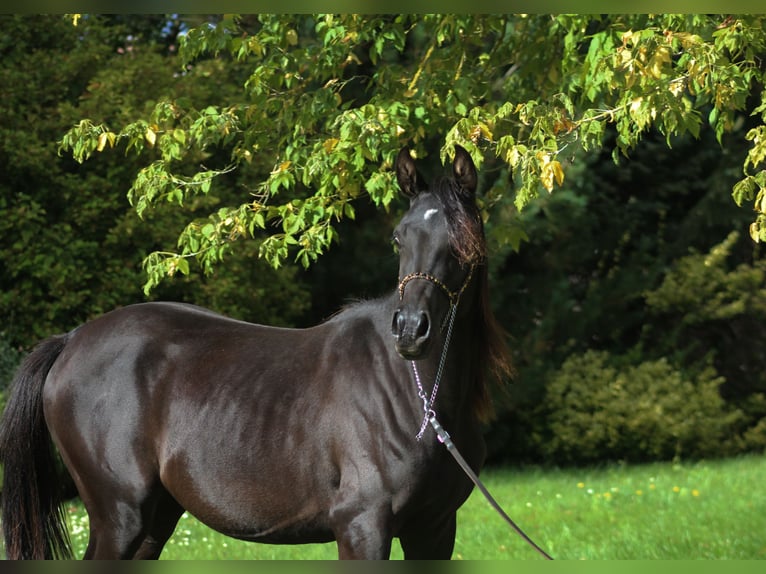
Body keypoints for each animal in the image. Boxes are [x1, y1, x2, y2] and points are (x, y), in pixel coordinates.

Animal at [0, 144, 511, 560]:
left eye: (463, 239)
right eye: (398, 237)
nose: (410, 331)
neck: (418, 399)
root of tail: (71, 340)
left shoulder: (434, 531)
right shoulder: (362, 527)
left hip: (153, 521)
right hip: (120, 518)